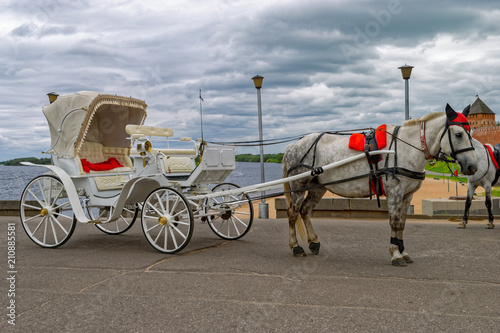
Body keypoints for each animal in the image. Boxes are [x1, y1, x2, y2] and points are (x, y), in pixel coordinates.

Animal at [284, 105, 478, 266]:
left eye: (471, 133)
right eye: (459, 134)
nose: (472, 166)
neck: (406, 147)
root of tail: (293, 145)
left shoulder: (407, 195)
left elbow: (402, 223)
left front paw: (403, 251)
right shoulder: (395, 192)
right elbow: (394, 222)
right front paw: (396, 254)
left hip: (317, 187)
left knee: (305, 211)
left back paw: (313, 242)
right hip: (298, 184)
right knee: (293, 212)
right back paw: (296, 247)